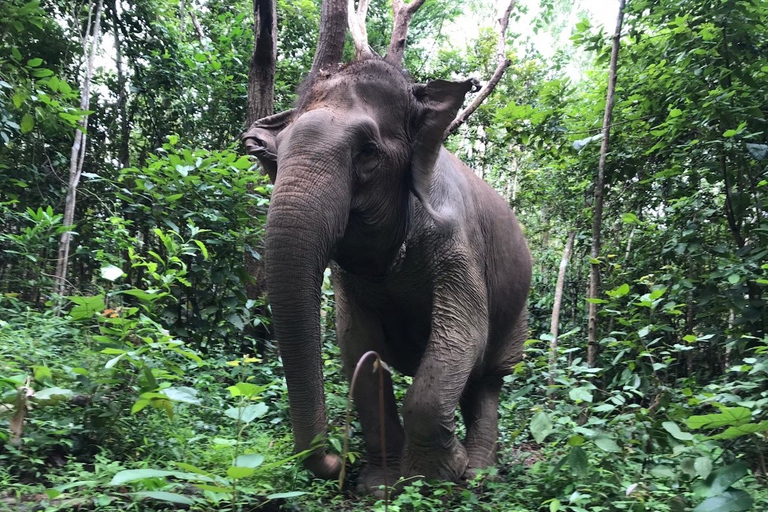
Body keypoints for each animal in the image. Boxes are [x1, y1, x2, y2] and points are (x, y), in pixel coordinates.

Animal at [243, 58, 532, 494]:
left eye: (367, 152)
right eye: (278, 156)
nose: (338, 461)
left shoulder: (459, 243)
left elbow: (465, 333)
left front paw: (435, 475)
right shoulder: (349, 281)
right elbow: (356, 342)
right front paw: (379, 485)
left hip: (518, 314)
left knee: (489, 377)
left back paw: (478, 472)